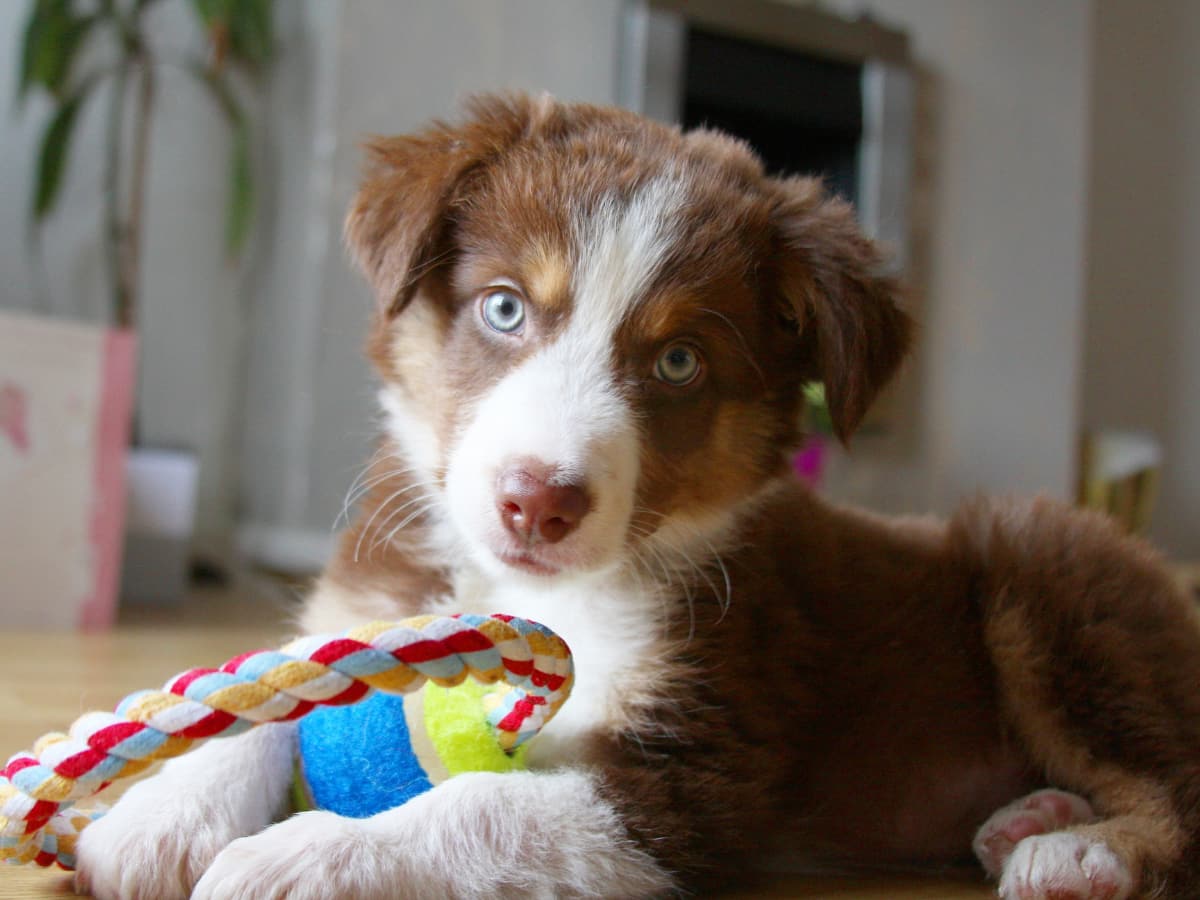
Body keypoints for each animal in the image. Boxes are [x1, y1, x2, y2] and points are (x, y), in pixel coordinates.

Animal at [72, 95, 1200, 897]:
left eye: (680, 362)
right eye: (504, 308)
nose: (537, 501)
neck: (541, 588)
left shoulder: (689, 773)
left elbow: (481, 808)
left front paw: (301, 859)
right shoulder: (368, 609)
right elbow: (268, 697)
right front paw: (160, 815)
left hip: (1048, 574)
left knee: (1174, 784)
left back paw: (1083, 854)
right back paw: (1029, 818)